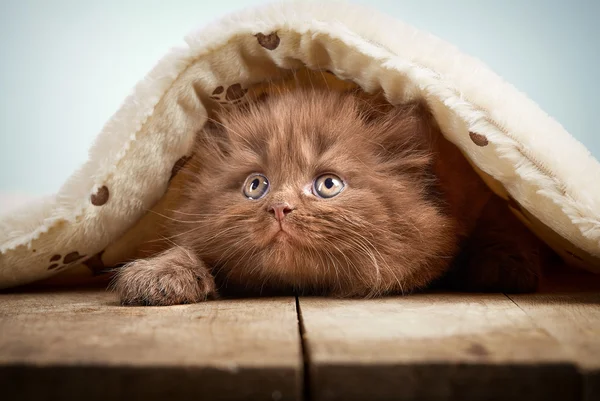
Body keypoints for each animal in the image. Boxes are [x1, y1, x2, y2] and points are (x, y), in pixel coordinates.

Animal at [113, 89, 544, 304]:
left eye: (328, 185)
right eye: (256, 186)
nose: (279, 208)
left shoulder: (478, 194)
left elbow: (499, 226)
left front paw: (503, 265)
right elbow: (187, 246)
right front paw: (160, 274)